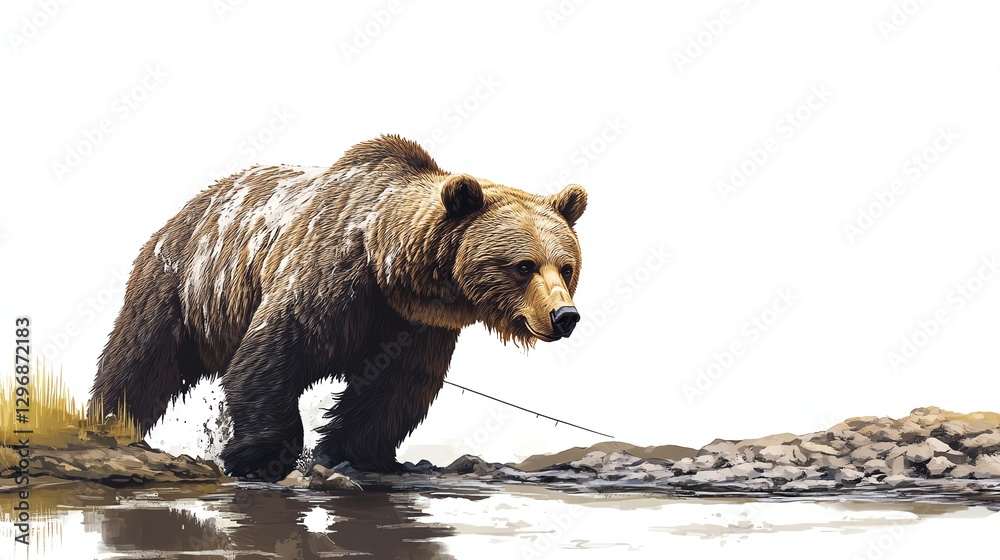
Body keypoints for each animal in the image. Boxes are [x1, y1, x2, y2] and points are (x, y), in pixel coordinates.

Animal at [89, 135, 586, 481]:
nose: (565, 317)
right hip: (183, 287)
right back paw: (110, 423)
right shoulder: (328, 281)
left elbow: (395, 391)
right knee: (140, 361)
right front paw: (261, 458)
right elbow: (269, 357)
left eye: (566, 267)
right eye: (523, 266)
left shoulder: (415, 327)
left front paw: (356, 455)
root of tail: (188, 207)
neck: (391, 270)